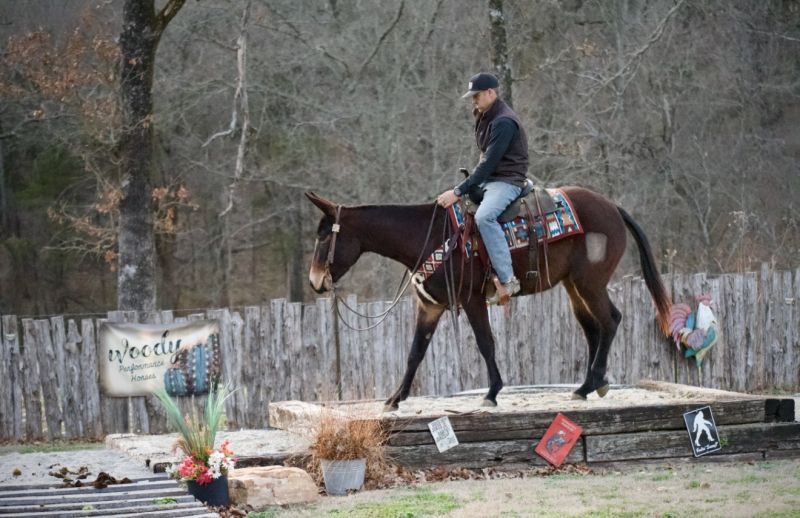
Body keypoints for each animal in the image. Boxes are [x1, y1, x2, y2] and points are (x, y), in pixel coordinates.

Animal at [305, 187, 672, 411]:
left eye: (324, 236)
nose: (315, 281)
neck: (428, 235)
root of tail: (612, 207)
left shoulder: (471, 300)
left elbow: (486, 343)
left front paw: (493, 392)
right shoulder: (430, 306)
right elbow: (415, 353)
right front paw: (395, 398)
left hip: (590, 282)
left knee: (610, 321)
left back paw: (593, 382)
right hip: (574, 286)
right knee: (593, 328)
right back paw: (587, 386)